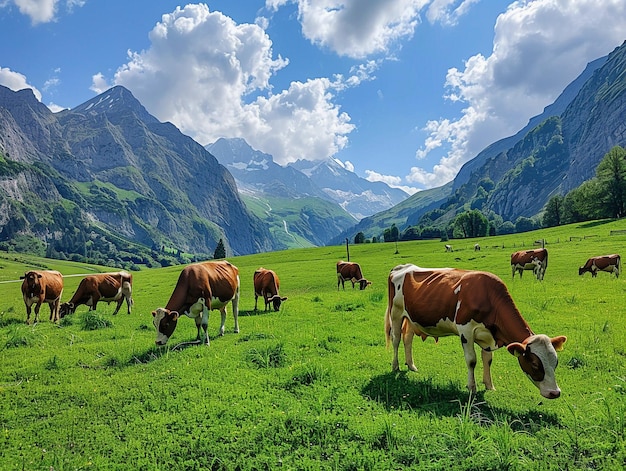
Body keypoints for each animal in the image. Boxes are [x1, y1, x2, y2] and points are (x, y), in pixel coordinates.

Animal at [382, 264, 568, 400]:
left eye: (556, 362)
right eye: (535, 363)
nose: (555, 393)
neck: (489, 297)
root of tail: (402, 267)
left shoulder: (488, 336)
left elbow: (488, 360)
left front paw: (489, 385)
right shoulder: (466, 331)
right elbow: (472, 361)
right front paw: (472, 388)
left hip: (411, 319)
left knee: (407, 339)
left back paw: (411, 365)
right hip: (396, 313)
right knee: (396, 339)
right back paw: (395, 366)